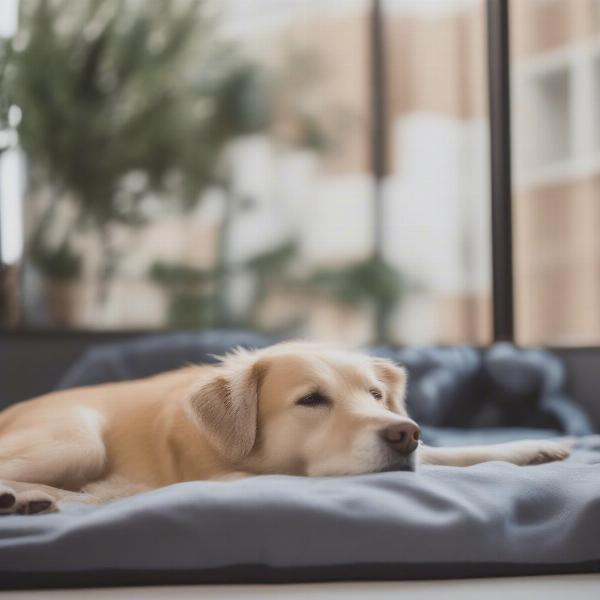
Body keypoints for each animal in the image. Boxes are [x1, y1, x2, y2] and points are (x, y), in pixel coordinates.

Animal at [0, 342, 572, 516]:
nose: (404, 432)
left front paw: (532, 447)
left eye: (375, 395)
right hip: (78, 437)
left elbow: (446, 455)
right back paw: (26, 497)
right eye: (312, 400)